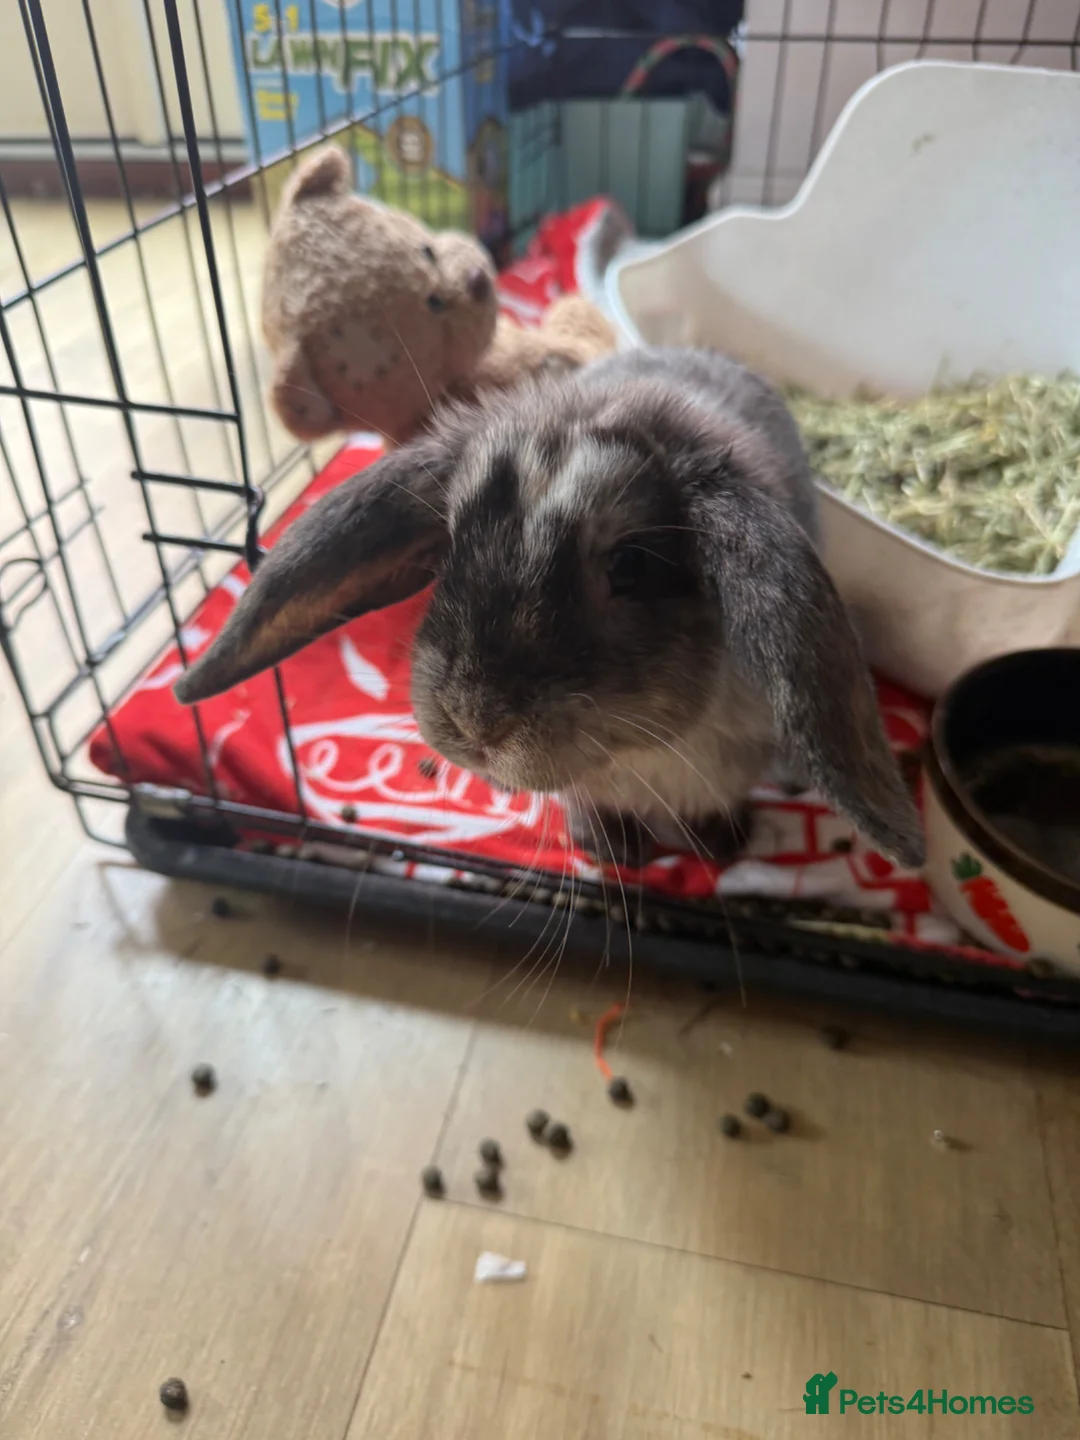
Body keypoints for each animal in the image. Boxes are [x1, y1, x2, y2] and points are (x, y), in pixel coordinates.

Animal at [174, 347, 925, 870]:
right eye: (451, 541)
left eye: (629, 565)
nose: (474, 719)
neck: (640, 755)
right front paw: (608, 850)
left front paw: (717, 845)